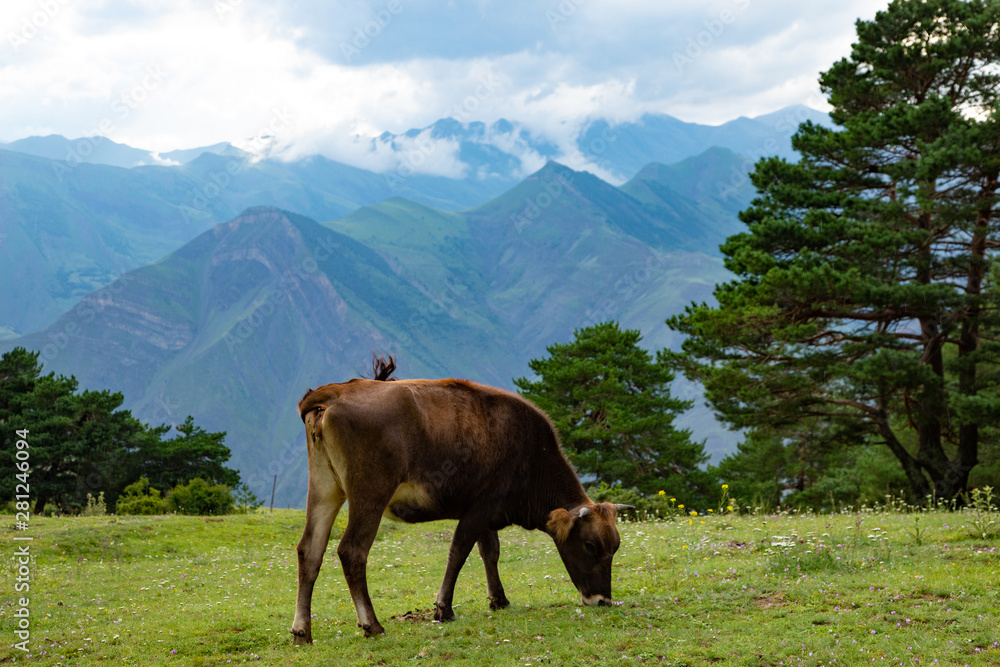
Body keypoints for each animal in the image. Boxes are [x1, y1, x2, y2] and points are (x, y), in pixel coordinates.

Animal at [289, 356, 631, 643]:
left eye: (615, 547)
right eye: (590, 546)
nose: (602, 600)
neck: (531, 454)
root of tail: (336, 391)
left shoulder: (489, 512)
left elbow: (490, 552)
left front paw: (498, 599)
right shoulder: (481, 504)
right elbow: (459, 551)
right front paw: (444, 608)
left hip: (324, 489)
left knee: (310, 550)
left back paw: (302, 631)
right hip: (370, 492)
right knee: (352, 551)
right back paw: (372, 625)